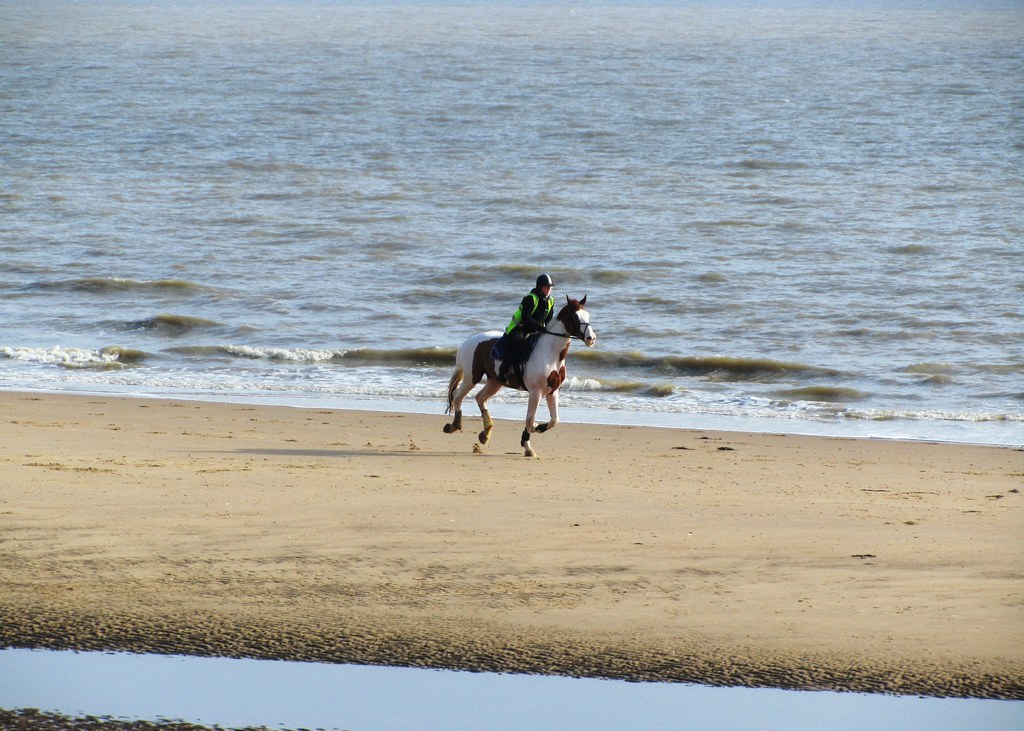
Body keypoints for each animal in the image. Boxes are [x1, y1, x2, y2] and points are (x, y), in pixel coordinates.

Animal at [442, 295, 596, 457]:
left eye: (587, 315)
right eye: (575, 317)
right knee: (458, 395)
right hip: (472, 377)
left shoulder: (552, 392)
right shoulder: (535, 392)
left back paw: (485, 433)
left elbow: (554, 420)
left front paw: (537, 427)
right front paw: (527, 446)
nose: (591, 338)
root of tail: (467, 342)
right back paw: (454, 425)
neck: (550, 354)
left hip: (495, 382)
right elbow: (529, 418)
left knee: (480, 398)